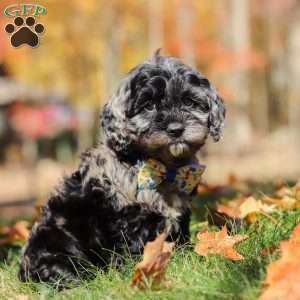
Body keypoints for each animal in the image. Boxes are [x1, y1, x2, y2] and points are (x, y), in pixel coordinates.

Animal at [18, 51, 225, 284]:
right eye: (148, 106)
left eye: (189, 102)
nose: (176, 129)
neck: (163, 166)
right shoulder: (129, 218)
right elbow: (132, 248)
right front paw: (139, 269)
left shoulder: (181, 211)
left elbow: (180, 237)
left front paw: (187, 255)